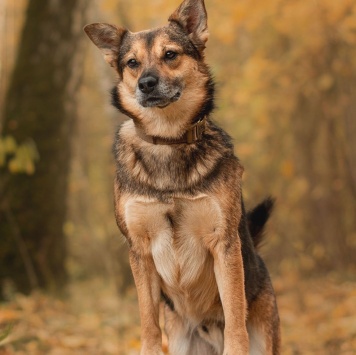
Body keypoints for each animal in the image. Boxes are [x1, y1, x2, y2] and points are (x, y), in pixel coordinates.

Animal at [84, 0, 280, 354]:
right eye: (132, 63)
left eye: (170, 54)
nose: (146, 83)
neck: (168, 140)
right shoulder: (140, 251)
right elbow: (148, 321)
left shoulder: (224, 242)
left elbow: (234, 313)